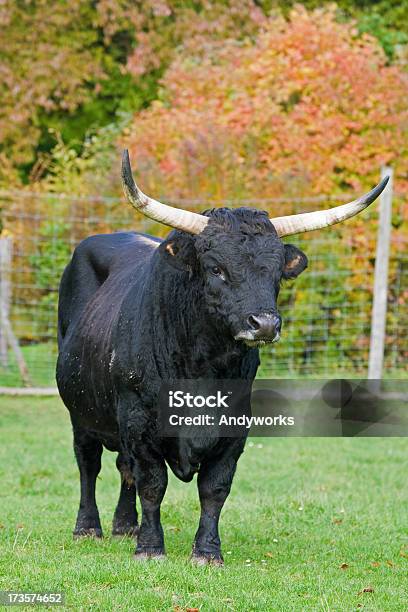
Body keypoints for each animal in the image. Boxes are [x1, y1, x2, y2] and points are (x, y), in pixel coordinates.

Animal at [56, 207, 306, 564]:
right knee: (88, 462)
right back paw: (88, 527)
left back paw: (125, 525)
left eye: (276, 273)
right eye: (216, 268)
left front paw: (207, 552)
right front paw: (149, 549)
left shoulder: (234, 429)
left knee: (123, 467)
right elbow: (152, 483)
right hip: (81, 411)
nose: (265, 324)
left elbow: (215, 488)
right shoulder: (138, 422)